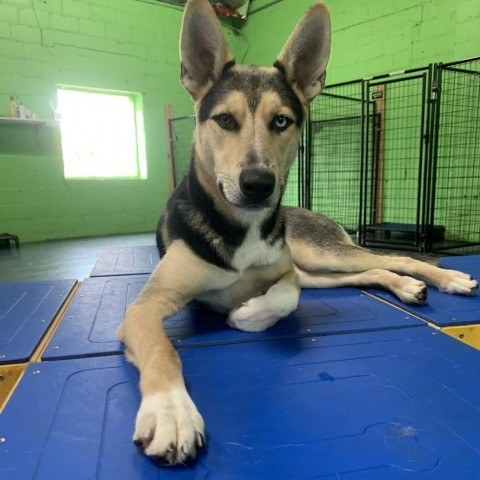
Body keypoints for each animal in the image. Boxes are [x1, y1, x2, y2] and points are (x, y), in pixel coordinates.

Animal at [117, 0, 480, 464]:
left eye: (281, 121)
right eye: (224, 120)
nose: (258, 183)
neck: (243, 226)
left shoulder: (287, 274)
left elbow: (284, 298)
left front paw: (244, 314)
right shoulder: (143, 309)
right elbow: (163, 351)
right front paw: (171, 415)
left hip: (317, 253)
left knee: (392, 258)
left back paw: (446, 278)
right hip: (318, 268)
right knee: (369, 272)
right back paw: (407, 288)